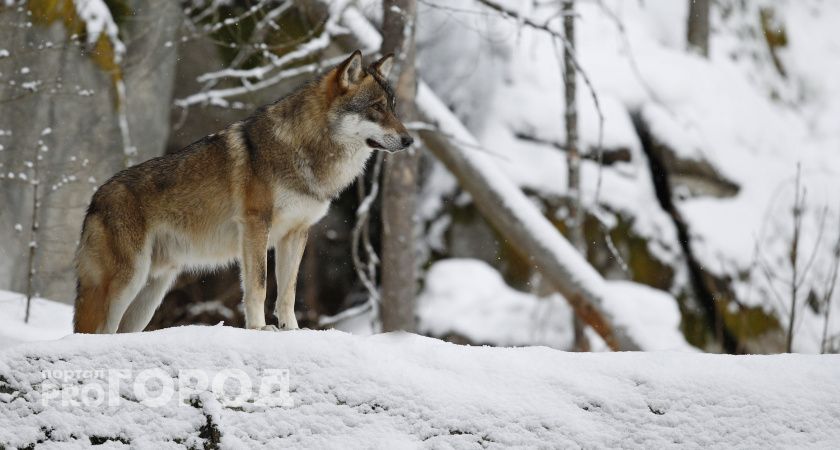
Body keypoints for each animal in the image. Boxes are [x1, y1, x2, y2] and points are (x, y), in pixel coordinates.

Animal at [75, 51, 414, 334]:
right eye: (376, 108)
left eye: (394, 108)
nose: (409, 140)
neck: (305, 150)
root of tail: (94, 199)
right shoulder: (256, 225)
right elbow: (259, 285)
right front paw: (259, 328)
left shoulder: (296, 233)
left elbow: (288, 291)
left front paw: (292, 330)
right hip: (126, 283)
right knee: (95, 331)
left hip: (149, 295)